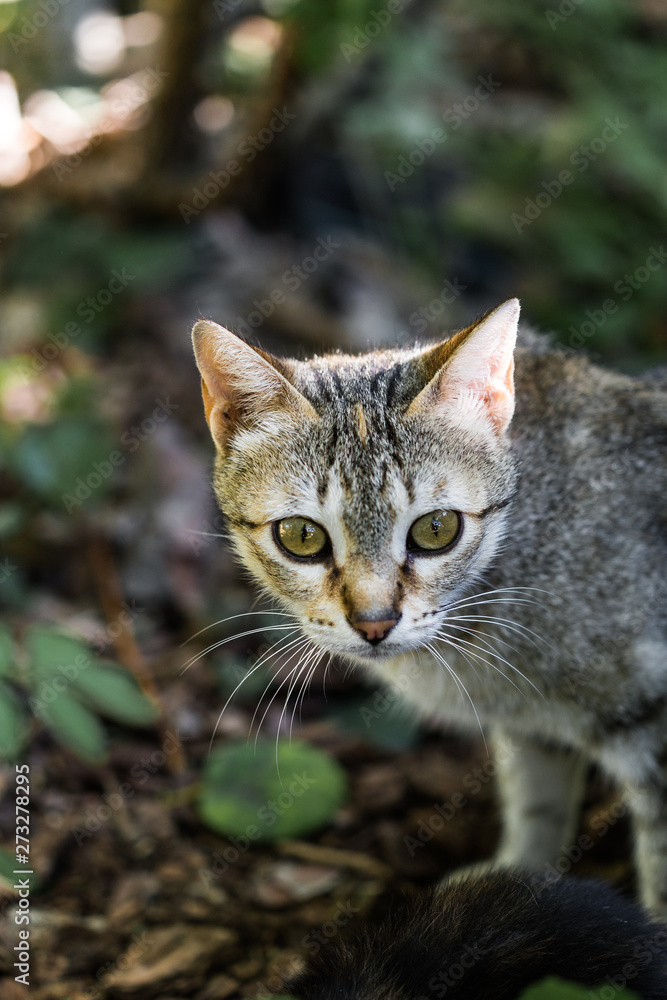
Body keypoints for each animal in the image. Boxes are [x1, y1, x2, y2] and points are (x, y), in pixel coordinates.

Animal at [190, 302, 667, 916]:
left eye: (436, 529)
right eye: (300, 536)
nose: (373, 623)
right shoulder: (531, 728)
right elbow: (537, 806)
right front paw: (516, 890)